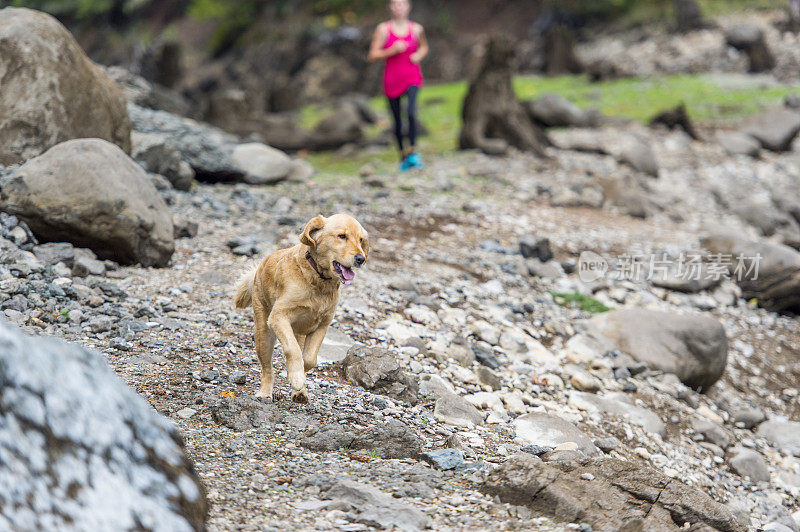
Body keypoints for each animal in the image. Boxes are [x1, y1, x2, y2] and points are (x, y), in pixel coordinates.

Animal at [233, 212, 368, 404]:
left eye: (361, 239)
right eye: (342, 236)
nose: (361, 259)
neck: (317, 279)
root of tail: (259, 267)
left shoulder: (321, 326)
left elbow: (309, 359)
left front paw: (297, 380)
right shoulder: (279, 317)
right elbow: (293, 350)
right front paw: (296, 377)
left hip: (298, 333)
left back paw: (299, 393)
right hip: (263, 333)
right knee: (267, 368)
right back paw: (265, 392)